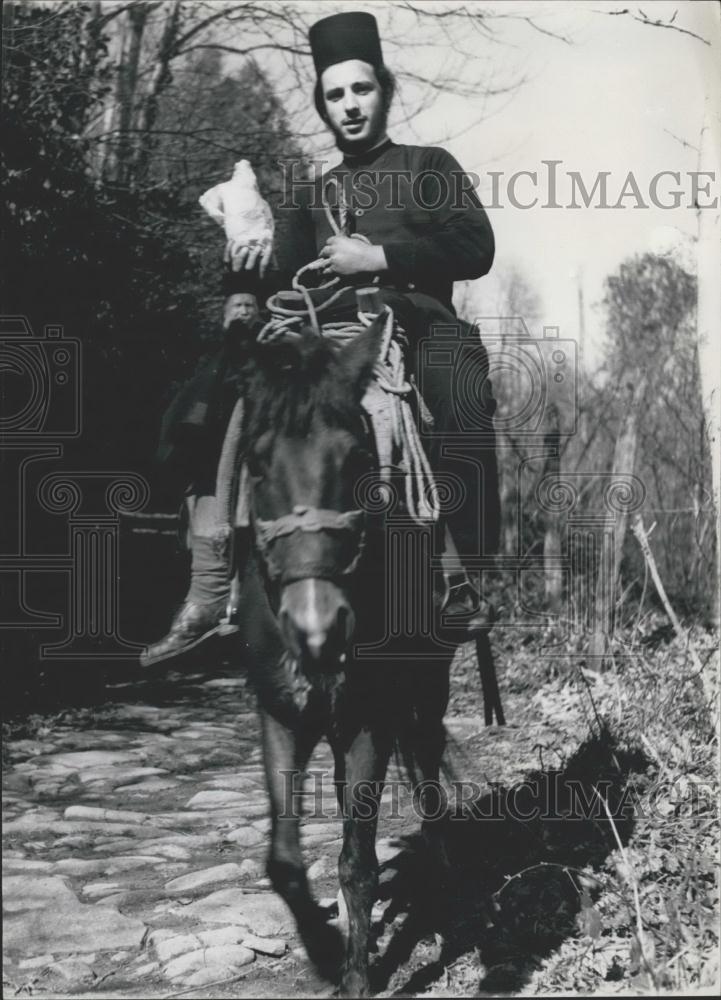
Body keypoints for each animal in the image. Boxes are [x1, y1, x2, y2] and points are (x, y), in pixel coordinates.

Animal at [235, 308, 456, 996]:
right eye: (257, 463)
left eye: (358, 458)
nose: (317, 627)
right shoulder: (280, 716)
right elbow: (284, 860)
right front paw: (326, 949)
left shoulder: (370, 722)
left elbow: (358, 858)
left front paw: (356, 971)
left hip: (427, 693)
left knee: (430, 782)